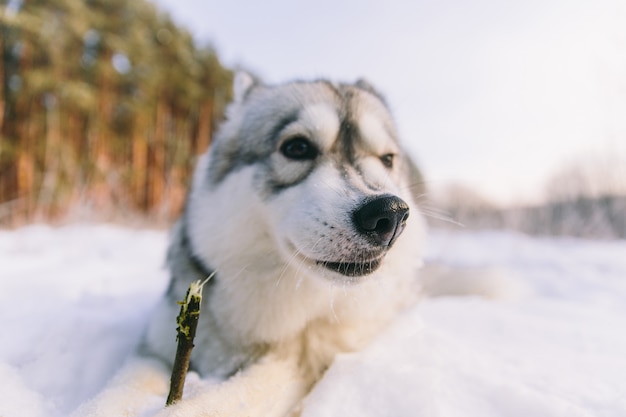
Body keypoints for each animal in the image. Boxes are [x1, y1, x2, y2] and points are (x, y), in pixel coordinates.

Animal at [72, 73, 424, 414]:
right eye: (297, 147)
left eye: (387, 159)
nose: (390, 215)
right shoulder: (154, 350)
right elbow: (113, 396)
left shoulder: (292, 366)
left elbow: (215, 403)